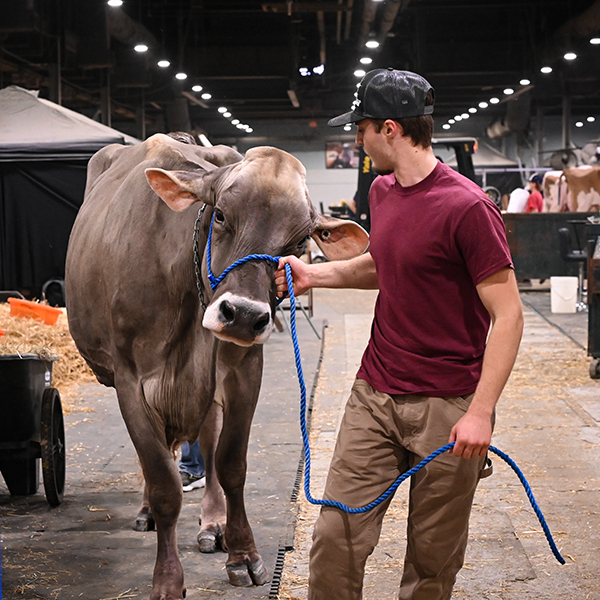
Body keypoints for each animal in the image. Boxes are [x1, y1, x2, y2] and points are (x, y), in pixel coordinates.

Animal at [65, 133, 368, 600]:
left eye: (299, 243)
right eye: (221, 214)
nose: (242, 315)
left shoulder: (244, 369)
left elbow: (230, 464)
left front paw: (243, 553)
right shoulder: (131, 381)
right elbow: (163, 481)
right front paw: (168, 580)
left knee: (207, 443)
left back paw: (212, 523)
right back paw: (147, 511)